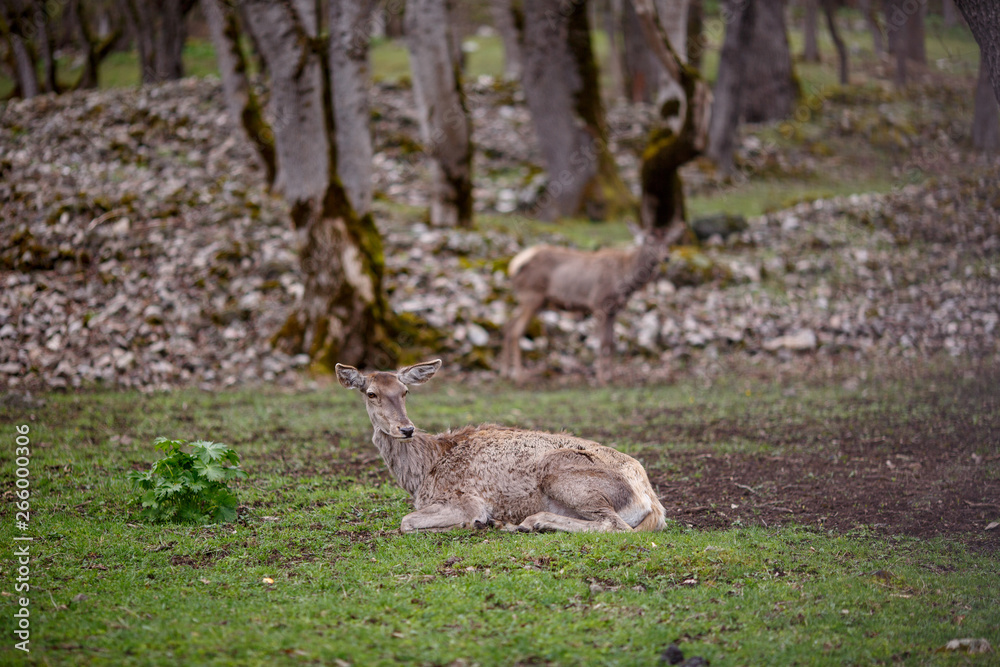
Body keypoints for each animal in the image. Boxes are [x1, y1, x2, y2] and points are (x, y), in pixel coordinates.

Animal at [335, 359, 666, 534]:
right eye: (372, 393)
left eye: (405, 391)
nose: (406, 428)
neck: (423, 474)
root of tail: (652, 503)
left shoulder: (466, 498)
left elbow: (406, 521)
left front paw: (474, 523)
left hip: (564, 474)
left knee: (615, 526)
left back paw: (528, 522)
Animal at [501, 224, 682, 384]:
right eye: (648, 240)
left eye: (668, 241)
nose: (666, 257)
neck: (626, 278)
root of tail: (513, 266)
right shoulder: (598, 302)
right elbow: (602, 342)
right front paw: (602, 379)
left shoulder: (613, 309)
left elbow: (611, 342)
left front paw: (612, 378)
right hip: (532, 296)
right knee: (516, 331)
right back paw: (520, 378)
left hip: (534, 301)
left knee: (508, 325)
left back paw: (507, 374)